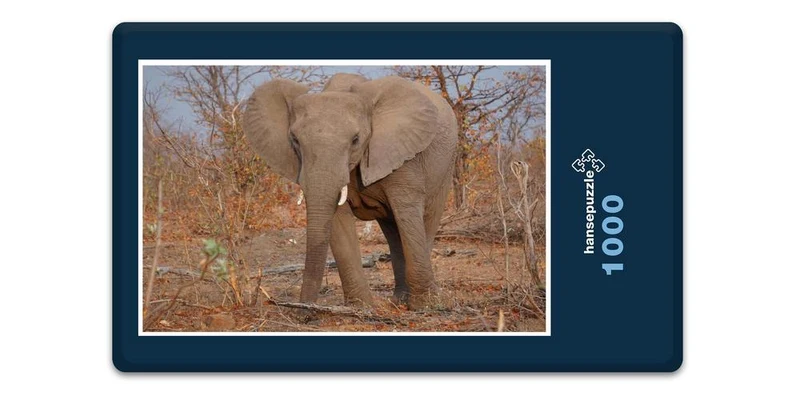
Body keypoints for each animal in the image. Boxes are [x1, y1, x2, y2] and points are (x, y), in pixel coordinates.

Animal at [242, 73, 457, 310]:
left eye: (355, 140)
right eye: (295, 140)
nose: (303, 308)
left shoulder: (404, 155)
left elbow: (407, 212)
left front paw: (425, 306)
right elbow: (338, 223)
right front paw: (360, 308)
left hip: (445, 165)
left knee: (425, 219)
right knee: (393, 230)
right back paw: (399, 300)